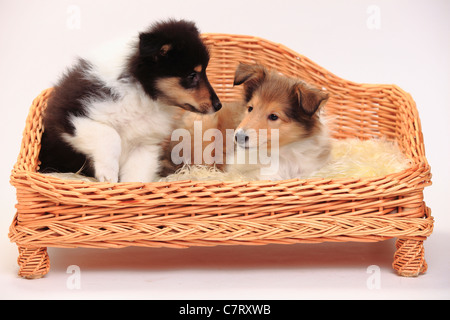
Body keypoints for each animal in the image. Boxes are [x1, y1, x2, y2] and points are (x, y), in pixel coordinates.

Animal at [38, 19, 221, 182]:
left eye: (204, 72)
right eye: (192, 75)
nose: (218, 105)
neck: (141, 93)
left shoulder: (144, 144)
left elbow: (137, 175)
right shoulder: (70, 117)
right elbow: (110, 135)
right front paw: (108, 174)